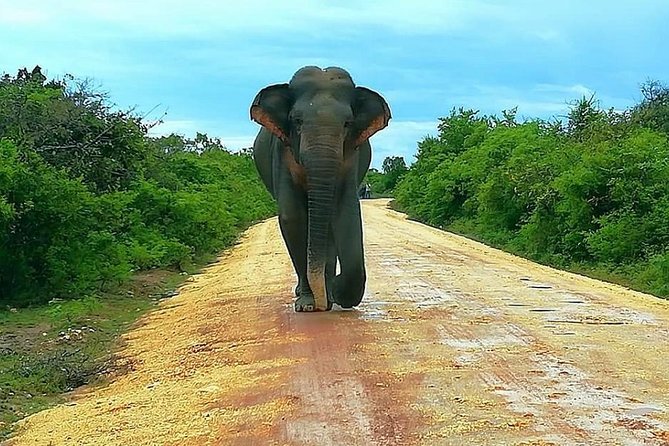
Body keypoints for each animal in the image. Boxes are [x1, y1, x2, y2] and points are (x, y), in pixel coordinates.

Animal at [250, 66, 391, 312]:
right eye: (296, 121)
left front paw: (333, 292)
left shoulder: (350, 155)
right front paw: (307, 305)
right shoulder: (282, 151)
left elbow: (345, 212)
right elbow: (293, 217)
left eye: (347, 124)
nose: (322, 300)